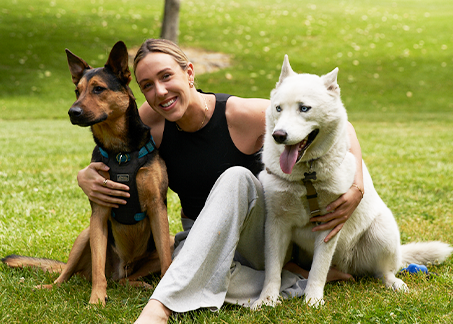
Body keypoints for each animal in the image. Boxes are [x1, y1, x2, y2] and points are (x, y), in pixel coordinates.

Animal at [2, 41, 171, 306]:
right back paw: (47, 287)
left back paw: (140, 284)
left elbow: (167, 263)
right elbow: (98, 269)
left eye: (98, 89)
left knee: (124, 279)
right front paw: (96, 301)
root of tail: (121, 269)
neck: (120, 151)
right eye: (76, 91)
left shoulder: (157, 208)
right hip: (85, 235)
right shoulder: (99, 213)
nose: (73, 112)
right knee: (68, 274)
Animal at [251, 56, 452, 308]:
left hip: (381, 232)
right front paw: (266, 300)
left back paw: (394, 283)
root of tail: (346, 266)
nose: (278, 135)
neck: (307, 177)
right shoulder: (276, 224)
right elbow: (273, 271)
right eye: (278, 108)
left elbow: (318, 269)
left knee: (383, 271)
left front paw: (312, 301)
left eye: (304, 108)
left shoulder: (329, 225)